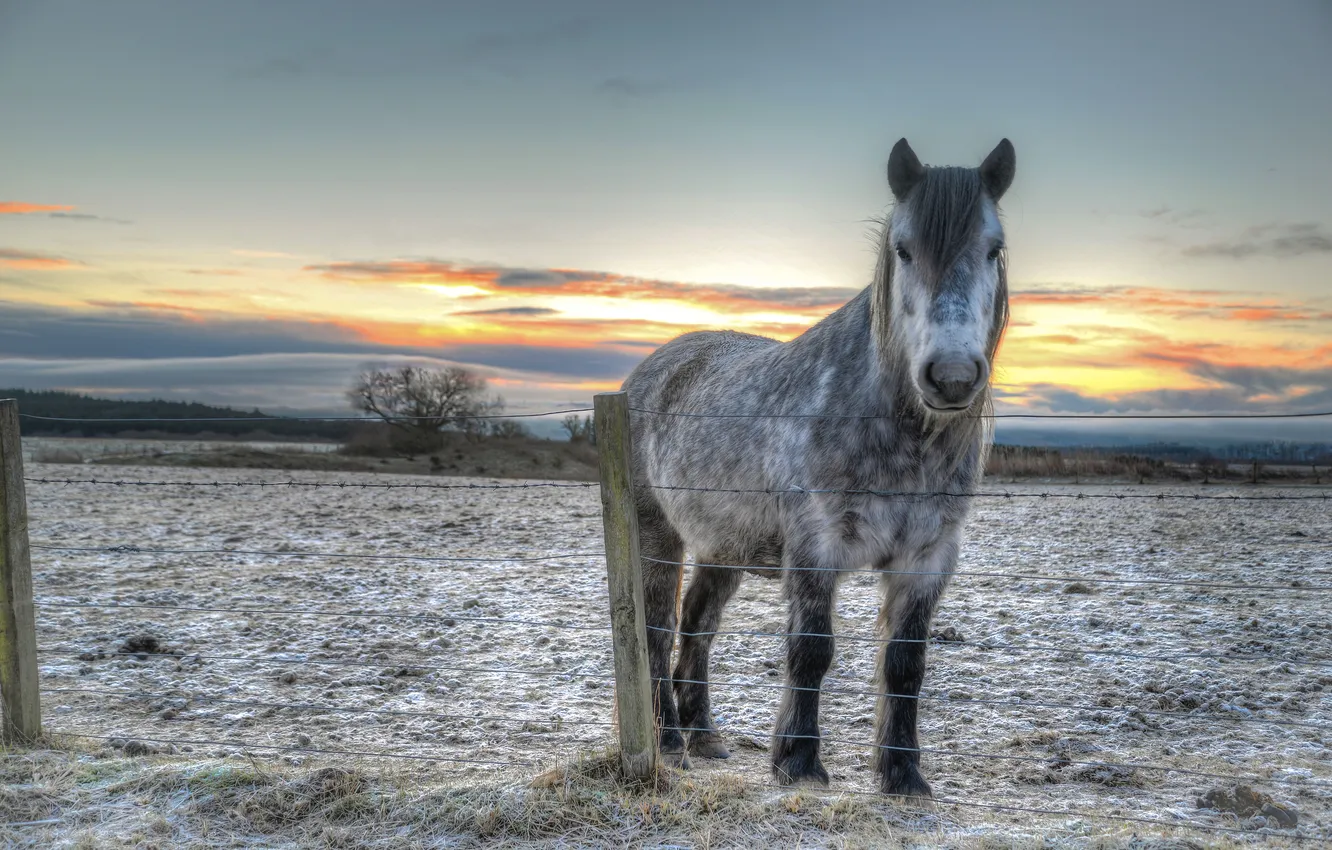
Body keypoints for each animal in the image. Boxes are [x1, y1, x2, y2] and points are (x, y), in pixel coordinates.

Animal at [619, 138, 1016, 799]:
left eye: (994, 248)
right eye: (903, 249)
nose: (953, 376)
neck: (896, 433)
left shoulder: (926, 559)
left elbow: (905, 663)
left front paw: (902, 772)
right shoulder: (816, 547)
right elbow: (811, 651)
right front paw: (798, 761)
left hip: (721, 547)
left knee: (697, 627)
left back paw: (704, 735)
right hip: (658, 536)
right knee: (656, 631)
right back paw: (671, 739)